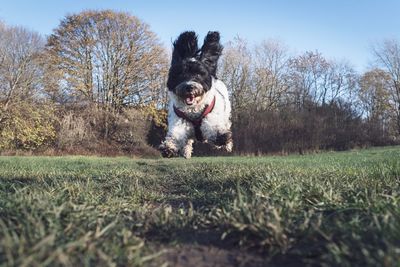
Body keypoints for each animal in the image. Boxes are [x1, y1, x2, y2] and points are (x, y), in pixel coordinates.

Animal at [159, 30, 233, 159]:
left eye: (199, 74)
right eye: (180, 74)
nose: (189, 87)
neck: (193, 111)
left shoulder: (212, 117)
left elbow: (214, 128)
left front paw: (222, 137)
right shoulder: (179, 121)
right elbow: (176, 134)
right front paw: (169, 147)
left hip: (225, 115)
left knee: (226, 125)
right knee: (188, 141)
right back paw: (186, 151)